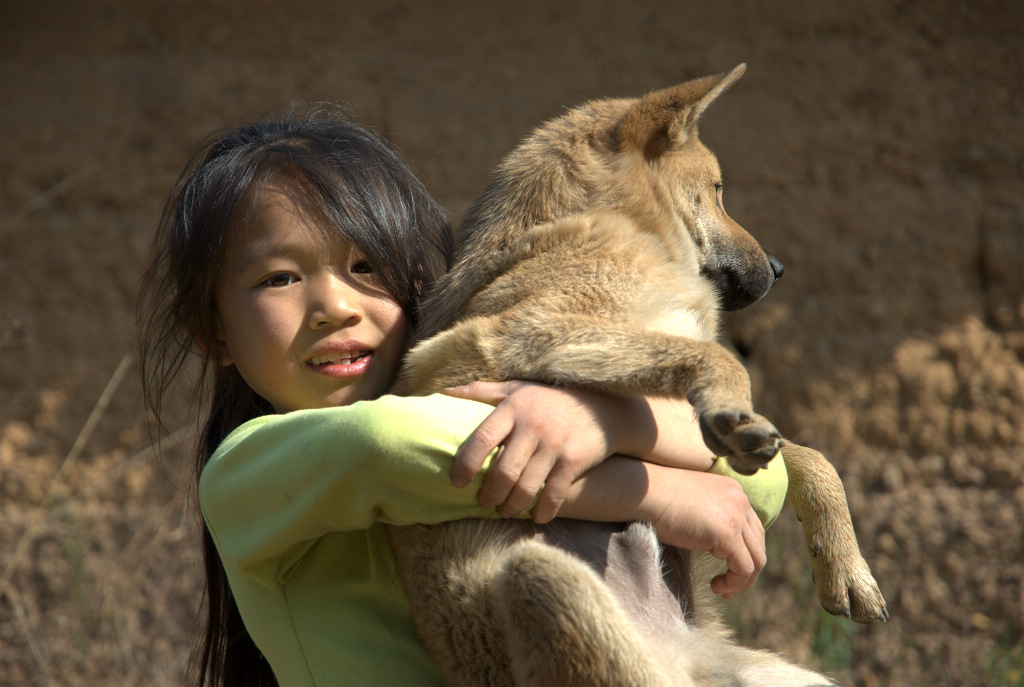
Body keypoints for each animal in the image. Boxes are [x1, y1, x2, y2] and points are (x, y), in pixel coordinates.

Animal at [387, 66, 884, 687]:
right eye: (718, 189)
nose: (779, 269)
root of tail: (684, 655)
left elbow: (808, 456)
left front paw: (844, 564)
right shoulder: (493, 342)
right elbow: (721, 362)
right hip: (542, 576)